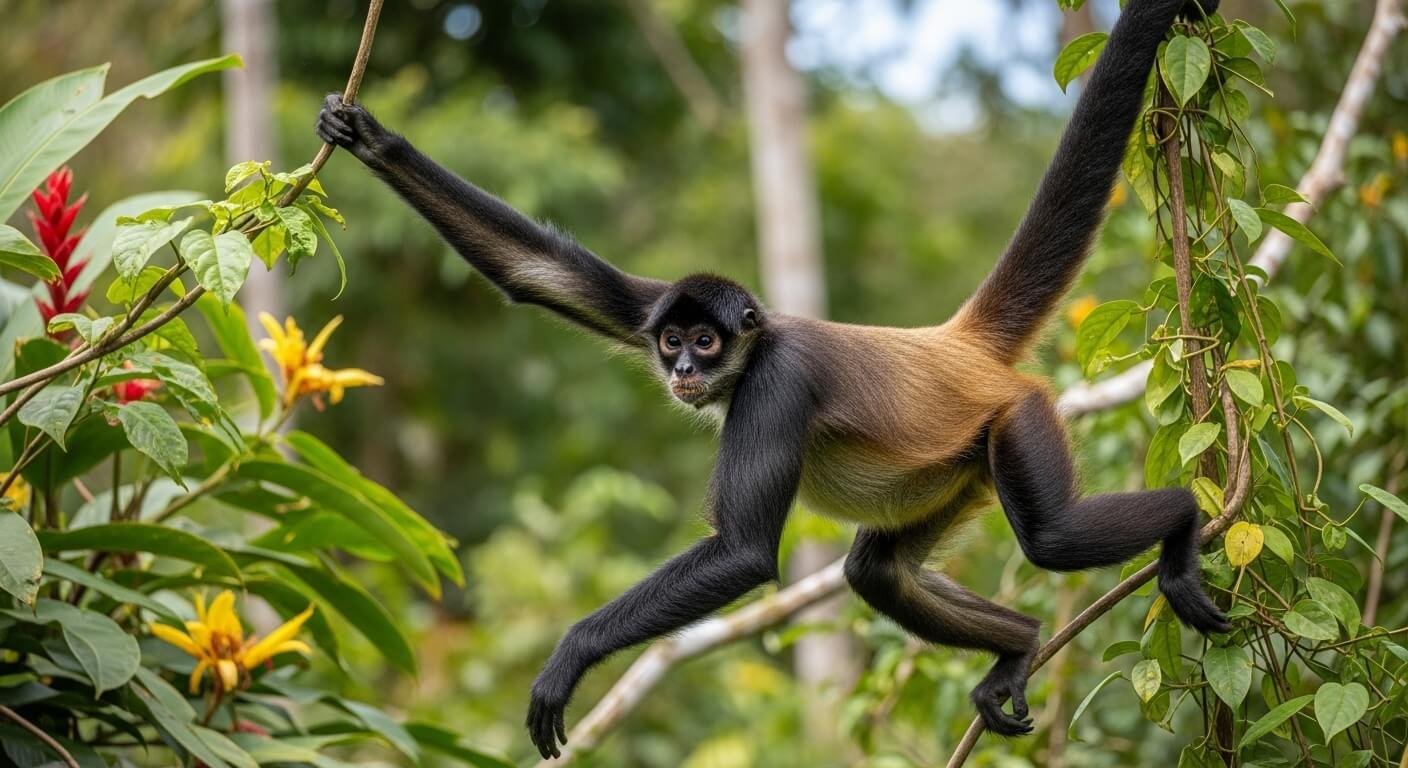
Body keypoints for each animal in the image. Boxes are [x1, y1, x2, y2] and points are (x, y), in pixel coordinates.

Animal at [315, 0, 1225, 757]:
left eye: (707, 344)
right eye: (673, 340)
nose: (684, 367)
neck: (759, 342)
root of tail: (954, 345)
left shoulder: (776, 381)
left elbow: (746, 552)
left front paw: (569, 656)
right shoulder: (653, 301)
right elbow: (536, 274)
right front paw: (372, 139)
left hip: (1019, 418)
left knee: (1050, 538)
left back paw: (1184, 525)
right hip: (958, 468)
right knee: (876, 572)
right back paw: (1023, 642)